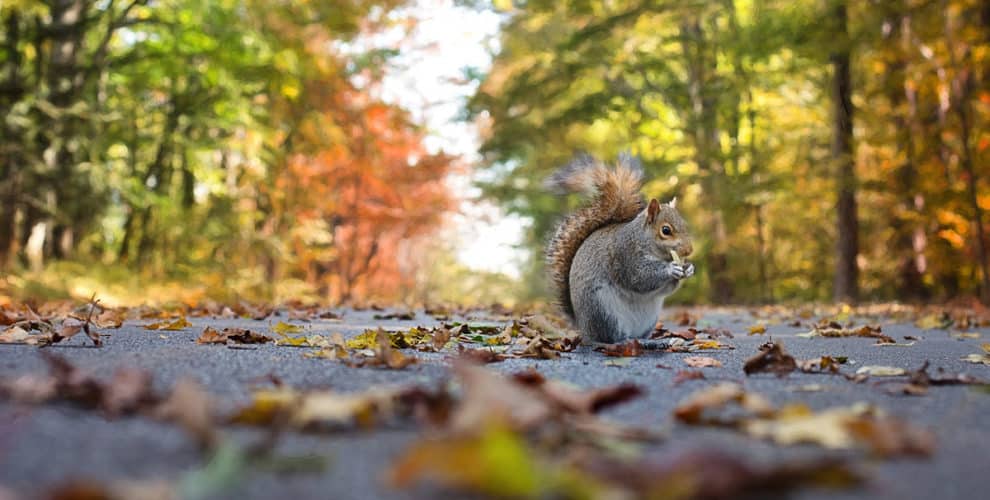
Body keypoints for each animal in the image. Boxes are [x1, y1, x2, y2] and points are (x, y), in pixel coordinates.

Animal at [544, 153, 696, 344]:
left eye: (685, 225)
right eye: (666, 230)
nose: (689, 250)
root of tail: (583, 328)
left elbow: (665, 289)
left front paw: (688, 268)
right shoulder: (625, 255)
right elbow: (639, 278)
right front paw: (671, 269)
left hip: (649, 319)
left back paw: (650, 341)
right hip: (603, 311)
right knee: (611, 338)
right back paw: (627, 341)